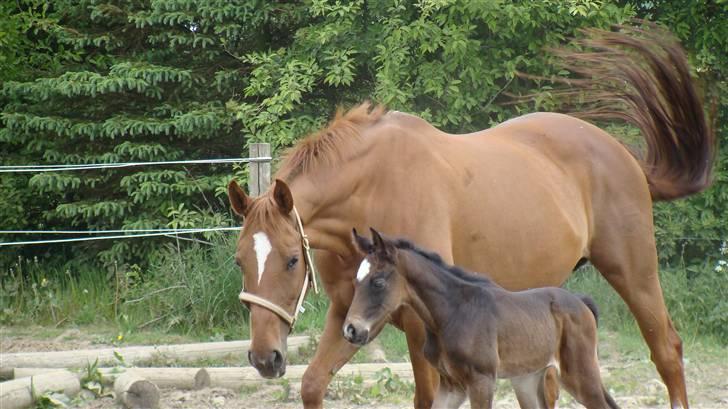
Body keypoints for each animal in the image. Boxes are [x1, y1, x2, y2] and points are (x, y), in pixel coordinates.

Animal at [344, 230, 616, 408]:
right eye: (355, 282)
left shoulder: (481, 381)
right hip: (527, 379)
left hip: (579, 374)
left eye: (378, 282)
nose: (350, 330)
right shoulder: (451, 385)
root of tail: (581, 301)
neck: (451, 314)